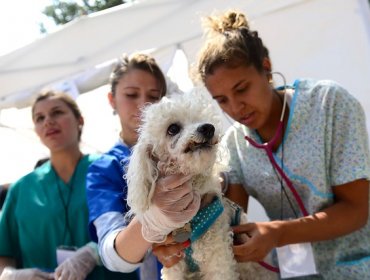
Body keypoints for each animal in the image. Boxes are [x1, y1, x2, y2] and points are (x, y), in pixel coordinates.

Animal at [125, 88, 276, 278]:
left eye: (200, 120)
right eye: (173, 128)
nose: (208, 128)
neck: (189, 222)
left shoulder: (219, 262)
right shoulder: (173, 264)